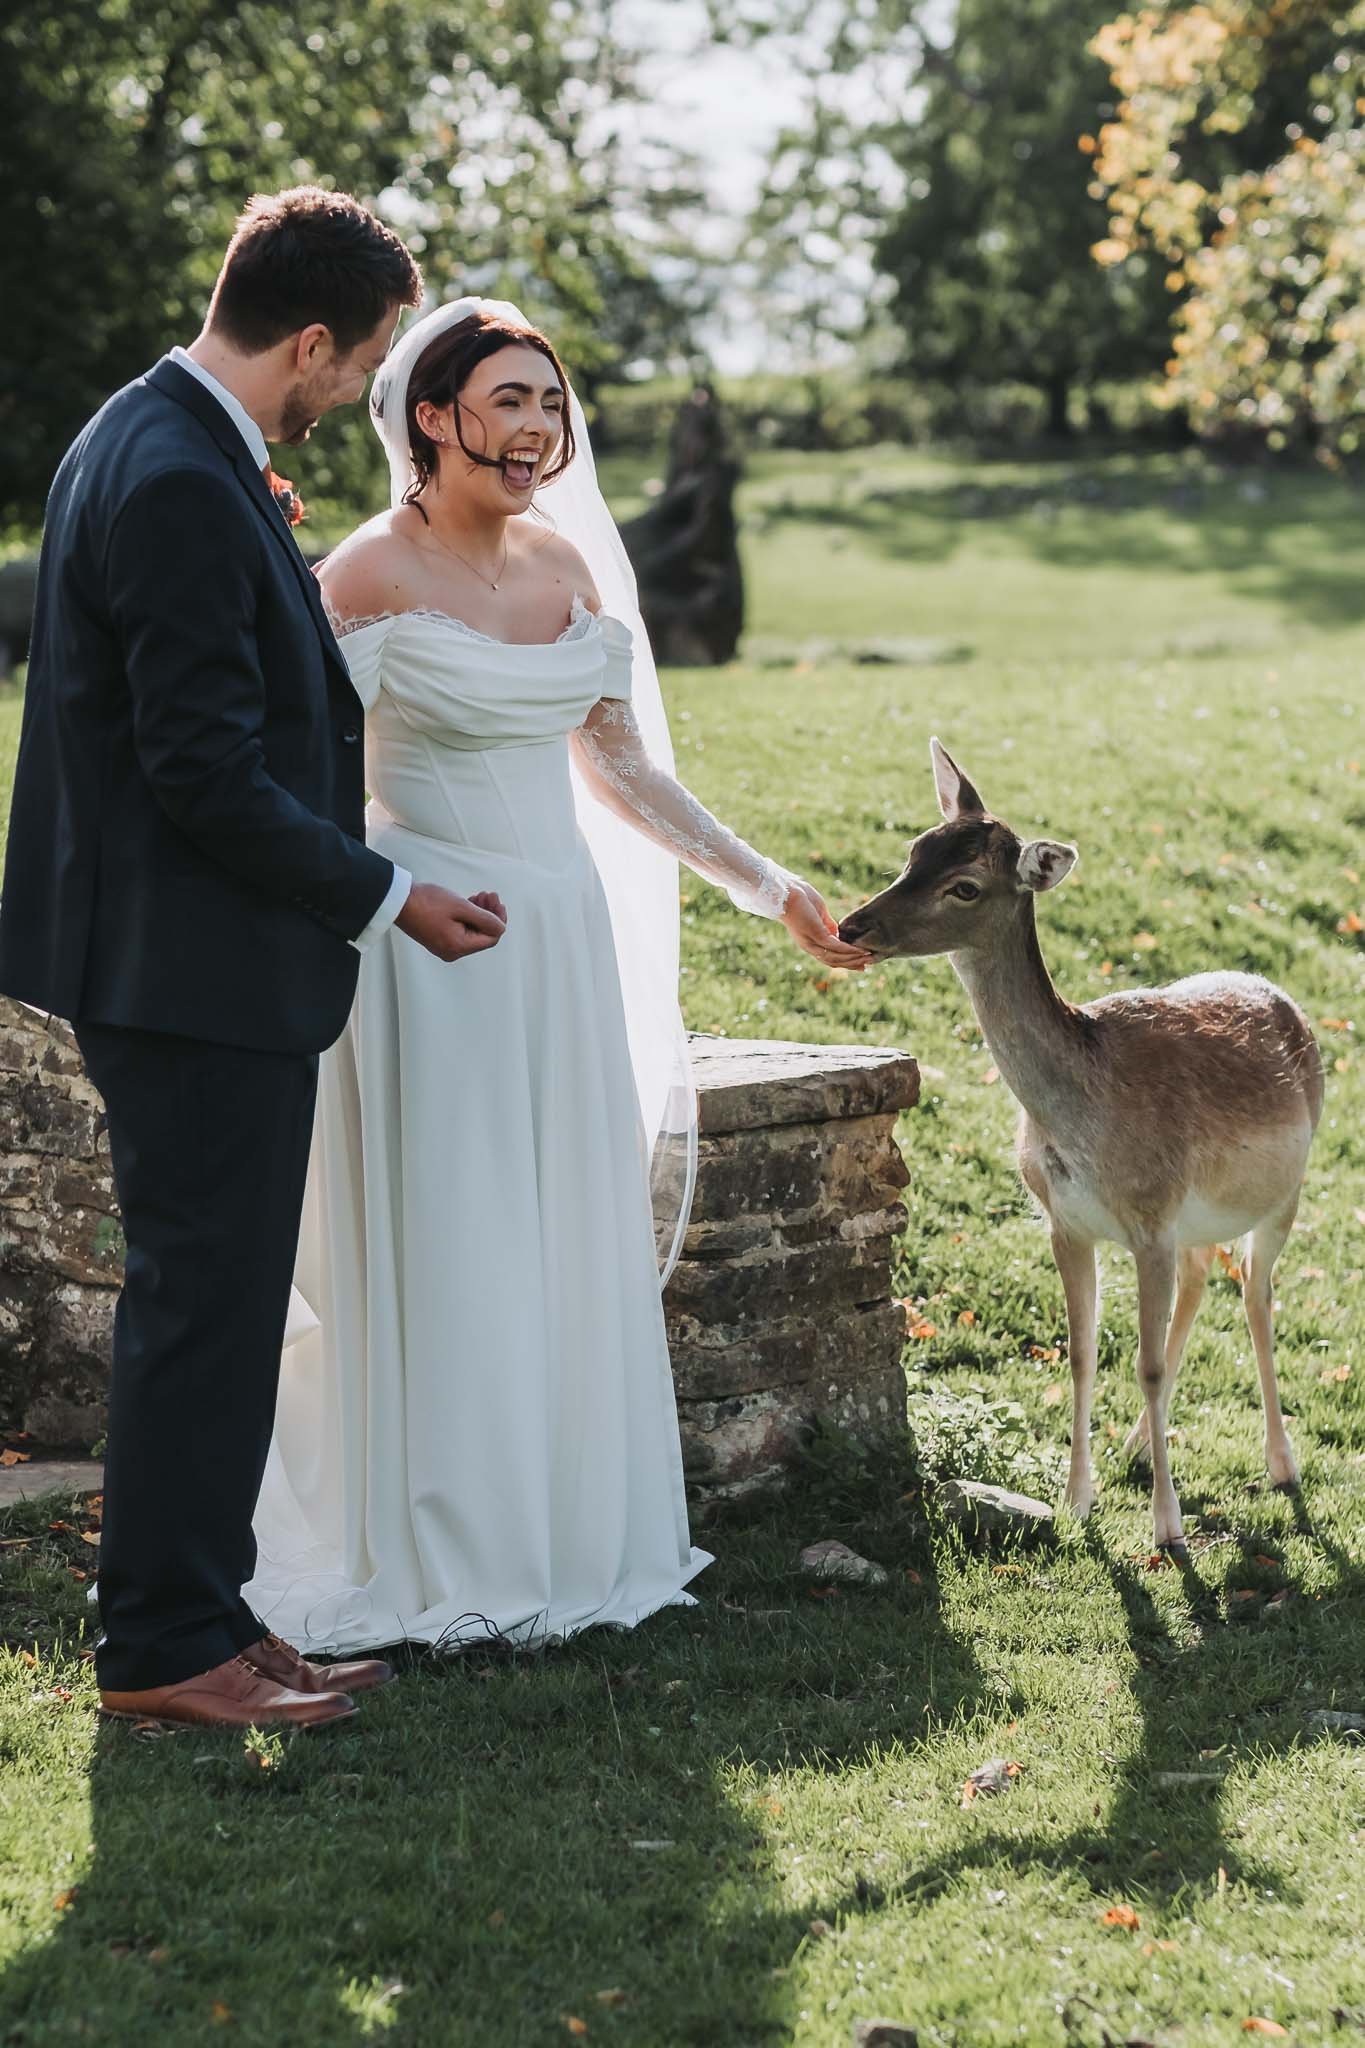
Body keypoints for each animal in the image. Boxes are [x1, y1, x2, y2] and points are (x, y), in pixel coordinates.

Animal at [838, 739, 1324, 1555]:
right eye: (913, 850)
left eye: (965, 886)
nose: (852, 925)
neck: (1082, 1124)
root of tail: (1282, 997)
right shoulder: (1066, 1221)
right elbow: (1081, 1352)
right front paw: (1075, 1501)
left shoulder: (1151, 1220)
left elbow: (1148, 1365)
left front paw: (1167, 1528)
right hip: (1200, 1215)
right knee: (1204, 1277)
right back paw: (1136, 1446)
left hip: (1285, 1190)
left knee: (1257, 1296)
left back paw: (1280, 1463)